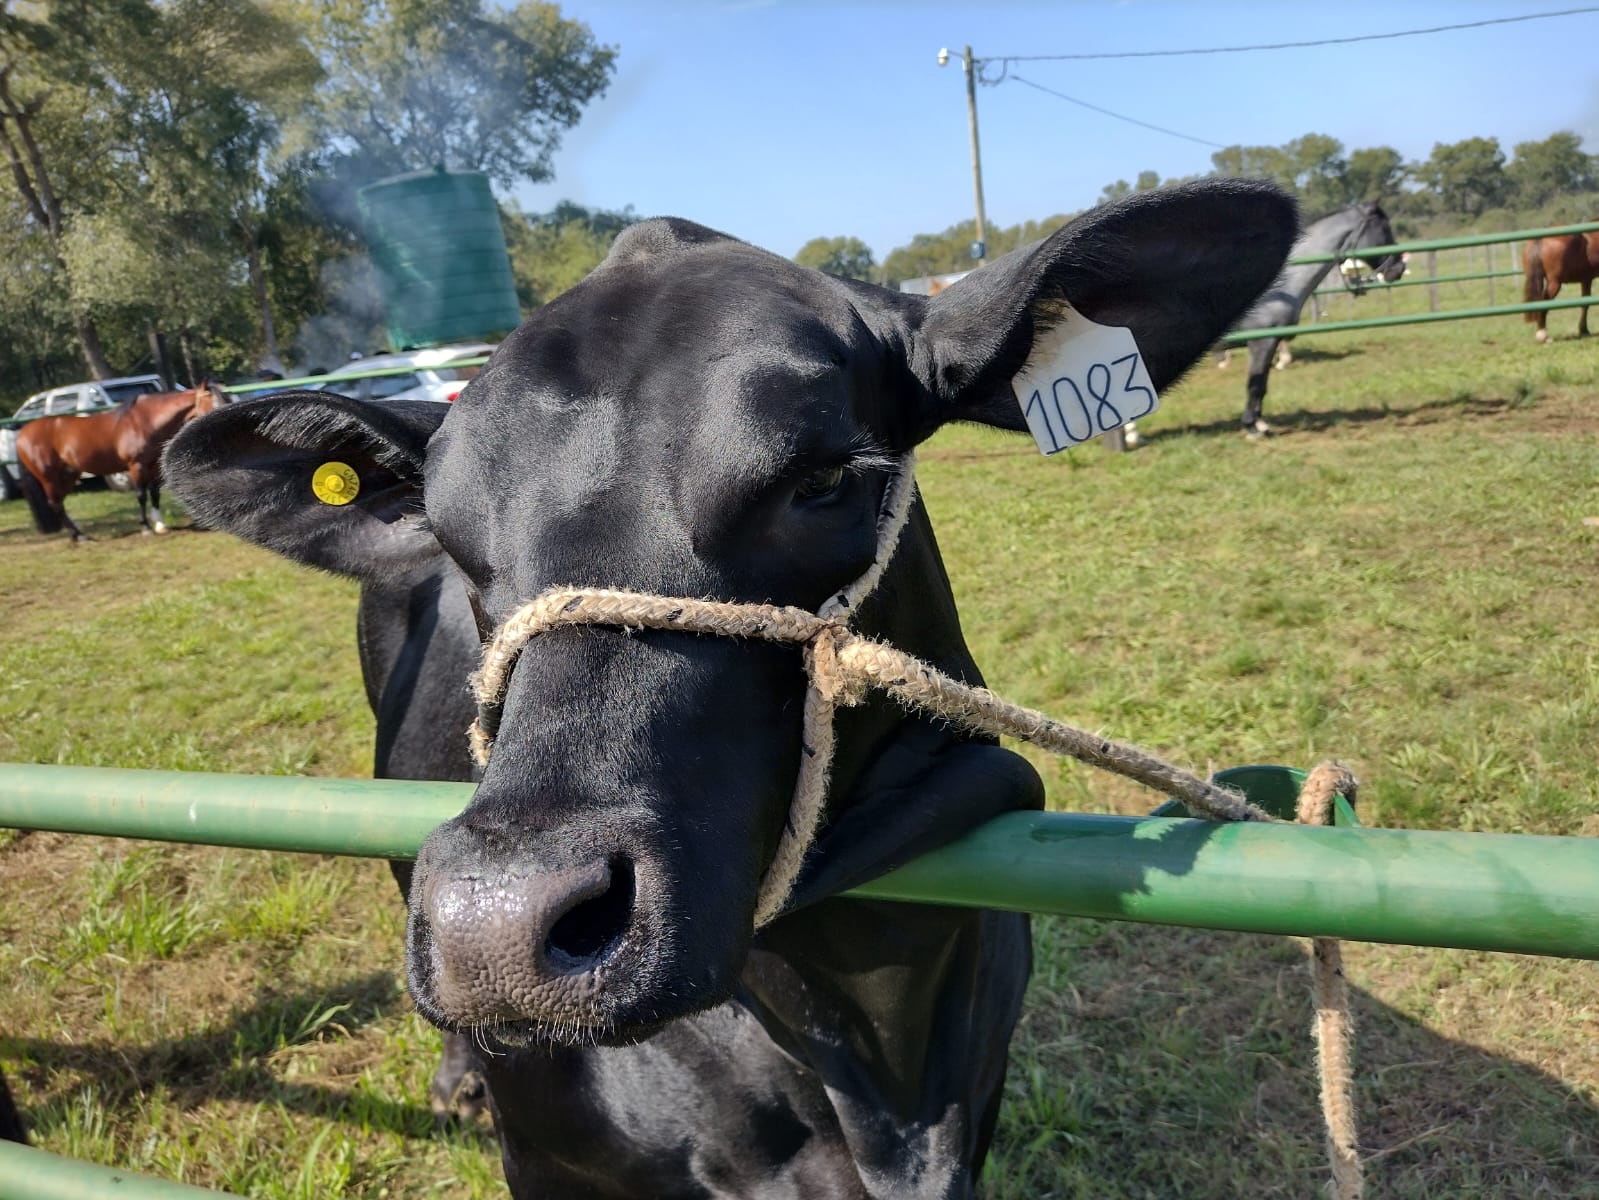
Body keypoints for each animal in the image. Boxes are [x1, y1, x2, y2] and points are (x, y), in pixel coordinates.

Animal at [17, 382, 230, 544]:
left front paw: (160, 525)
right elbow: (141, 495)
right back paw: (79, 536)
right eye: (215, 404)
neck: (146, 421)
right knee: (55, 504)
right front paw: (145, 527)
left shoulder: (153, 466)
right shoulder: (136, 466)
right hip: (48, 477)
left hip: (68, 475)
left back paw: (79, 533)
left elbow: (155, 494)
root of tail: (22, 434)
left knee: (60, 502)